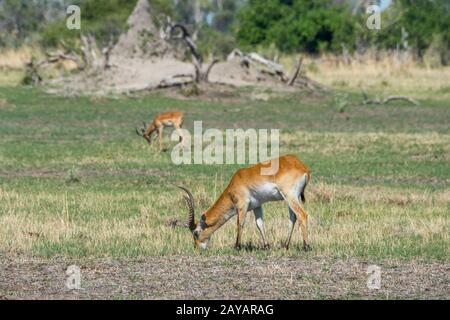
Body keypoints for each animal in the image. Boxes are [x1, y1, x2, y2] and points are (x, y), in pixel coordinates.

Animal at [178, 154, 312, 250]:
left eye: (196, 233)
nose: (197, 248)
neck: (235, 183)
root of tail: (303, 167)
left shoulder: (242, 206)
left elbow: (240, 223)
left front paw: (237, 246)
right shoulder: (257, 206)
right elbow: (259, 224)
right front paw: (266, 246)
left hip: (290, 196)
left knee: (302, 215)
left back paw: (306, 246)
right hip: (293, 198)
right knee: (293, 217)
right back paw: (285, 245)